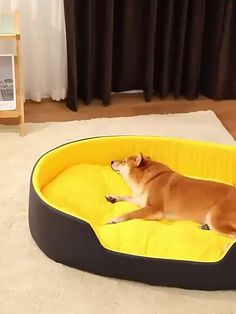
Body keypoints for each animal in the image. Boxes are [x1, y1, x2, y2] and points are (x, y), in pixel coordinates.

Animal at [106, 153, 236, 237]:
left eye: (124, 161)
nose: (111, 161)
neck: (151, 179)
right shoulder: (140, 198)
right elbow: (126, 196)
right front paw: (113, 197)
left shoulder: (154, 209)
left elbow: (131, 213)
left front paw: (115, 219)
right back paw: (205, 227)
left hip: (215, 217)